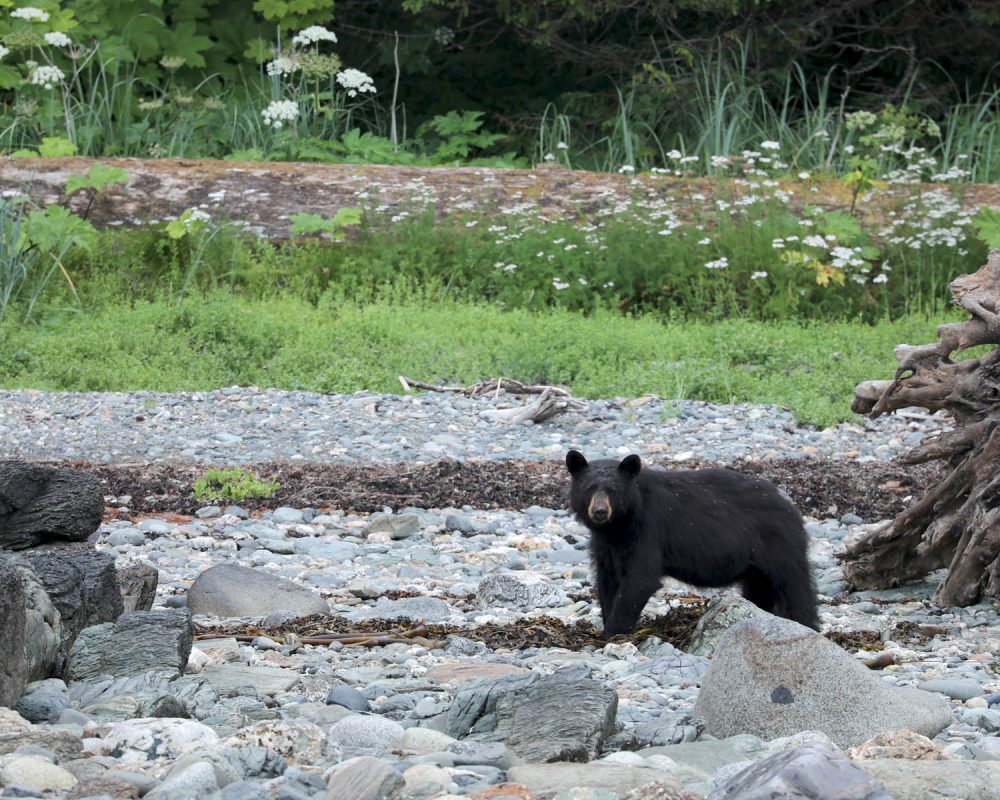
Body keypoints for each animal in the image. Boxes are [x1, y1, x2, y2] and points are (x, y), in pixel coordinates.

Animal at [568, 450, 816, 636]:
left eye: (613, 490)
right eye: (589, 488)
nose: (600, 511)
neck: (619, 525)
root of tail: (792, 508)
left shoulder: (648, 531)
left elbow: (639, 581)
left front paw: (611, 633)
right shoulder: (605, 544)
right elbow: (607, 581)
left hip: (779, 545)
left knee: (795, 588)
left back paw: (805, 624)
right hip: (756, 566)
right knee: (760, 590)